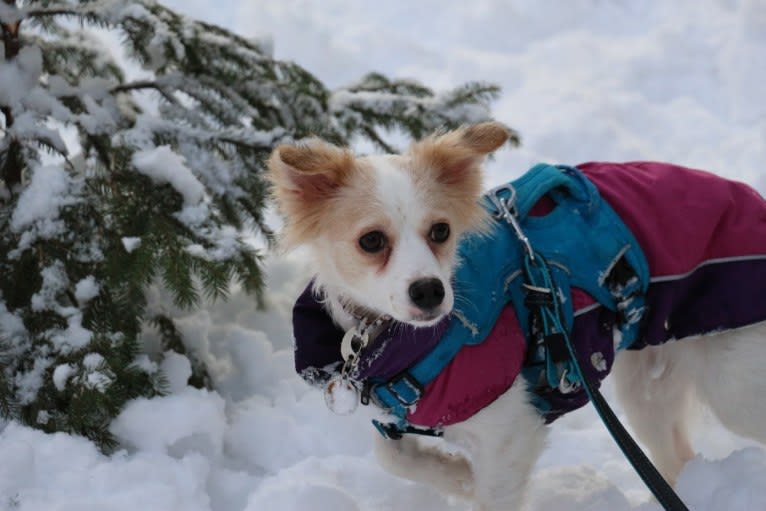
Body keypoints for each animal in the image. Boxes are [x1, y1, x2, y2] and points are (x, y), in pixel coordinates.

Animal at [266, 122, 766, 510]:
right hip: (648, 386)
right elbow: (391, 456)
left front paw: (466, 482)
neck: (398, 341)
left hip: (734, 386)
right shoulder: (396, 417)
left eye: (441, 231)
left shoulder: (511, 430)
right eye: (371, 241)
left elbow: (493, 492)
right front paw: (457, 477)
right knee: (676, 454)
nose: (430, 292)